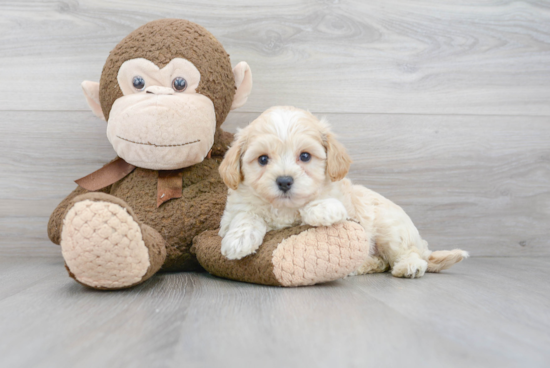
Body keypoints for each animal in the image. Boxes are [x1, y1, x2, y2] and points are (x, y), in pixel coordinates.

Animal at [218, 106, 468, 278]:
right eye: (262, 159)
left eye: (305, 156)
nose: (285, 181)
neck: (284, 207)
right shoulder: (233, 213)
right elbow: (246, 216)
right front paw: (239, 240)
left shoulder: (347, 210)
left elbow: (319, 207)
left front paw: (320, 209)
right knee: (382, 262)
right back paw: (364, 266)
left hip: (392, 230)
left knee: (408, 254)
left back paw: (409, 266)